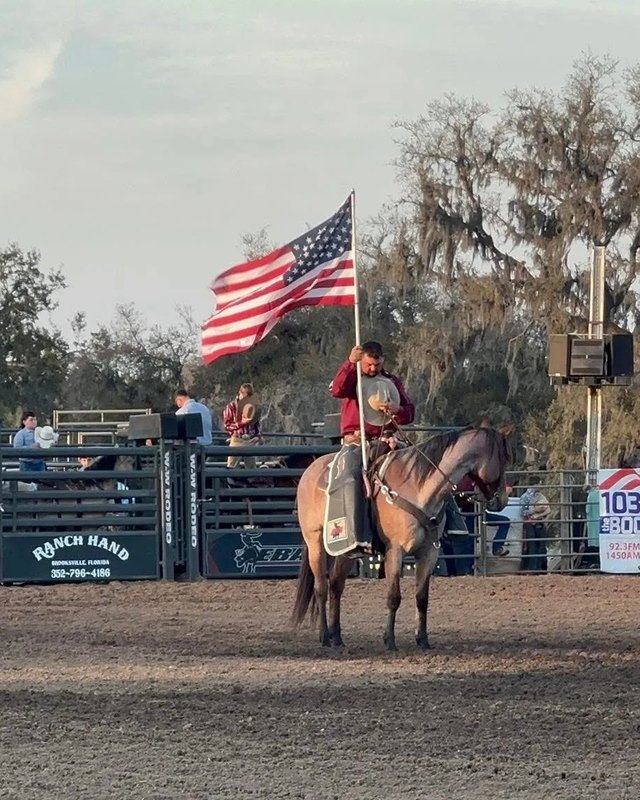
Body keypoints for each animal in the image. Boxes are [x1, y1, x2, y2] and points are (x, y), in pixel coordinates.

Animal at [291, 425, 514, 651]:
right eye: (505, 457)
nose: (503, 500)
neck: (419, 488)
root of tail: (310, 471)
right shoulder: (395, 552)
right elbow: (394, 597)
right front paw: (389, 640)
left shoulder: (429, 553)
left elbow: (422, 598)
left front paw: (422, 639)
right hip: (315, 542)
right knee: (321, 588)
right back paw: (325, 637)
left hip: (346, 550)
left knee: (336, 585)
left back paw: (337, 638)